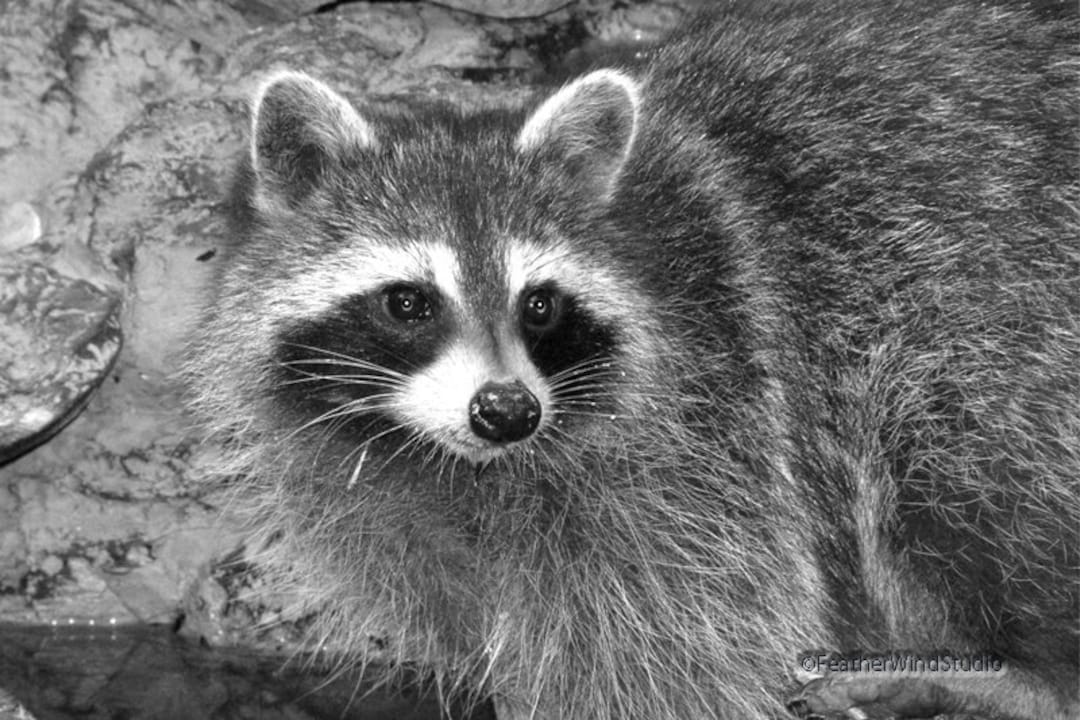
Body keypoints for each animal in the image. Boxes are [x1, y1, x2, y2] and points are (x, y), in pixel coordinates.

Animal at [185, 1, 1080, 718]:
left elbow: (677, 658)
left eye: (539, 304)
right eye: (409, 302)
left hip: (987, 320)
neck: (460, 468)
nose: (507, 411)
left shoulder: (713, 452)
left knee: (962, 459)